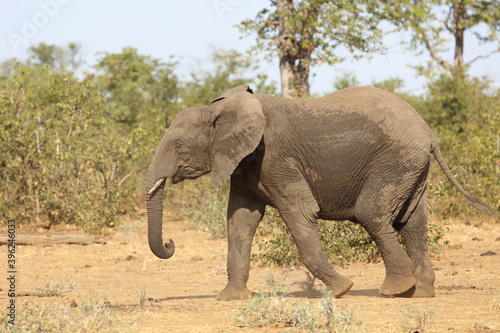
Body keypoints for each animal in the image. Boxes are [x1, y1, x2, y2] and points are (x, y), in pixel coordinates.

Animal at [146, 84, 496, 300]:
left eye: (179, 145)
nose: (170, 243)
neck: (222, 110)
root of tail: (429, 133)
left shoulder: (274, 159)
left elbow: (300, 215)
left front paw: (341, 290)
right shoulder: (245, 165)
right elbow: (240, 222)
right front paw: (230, 298)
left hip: (395, 161)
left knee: (373, 215)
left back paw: (395, 290)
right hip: (413, 168)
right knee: (413, 224)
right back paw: (420, 292)